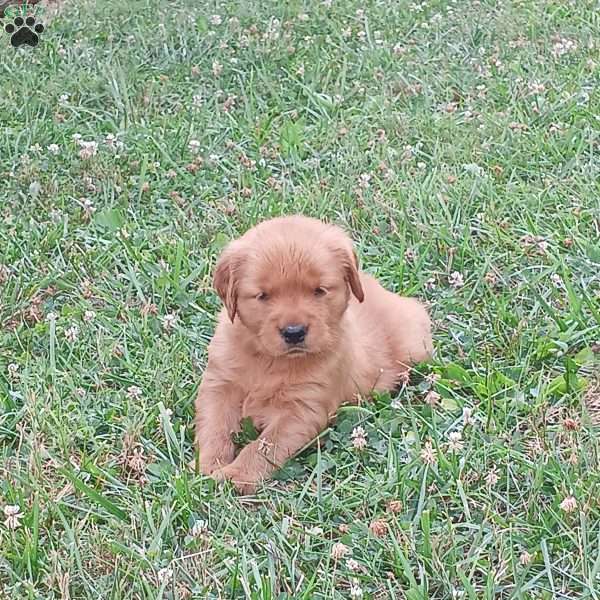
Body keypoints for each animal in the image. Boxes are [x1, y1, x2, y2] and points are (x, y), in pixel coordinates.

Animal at [195, 216, 434, 492]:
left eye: (319, 290)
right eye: (262, 295)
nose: (294, 332)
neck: (268, 360)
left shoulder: (302, 409)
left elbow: (264, 447)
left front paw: (236, 475)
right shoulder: (219, 386)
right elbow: (215, 426)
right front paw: (210, 465)